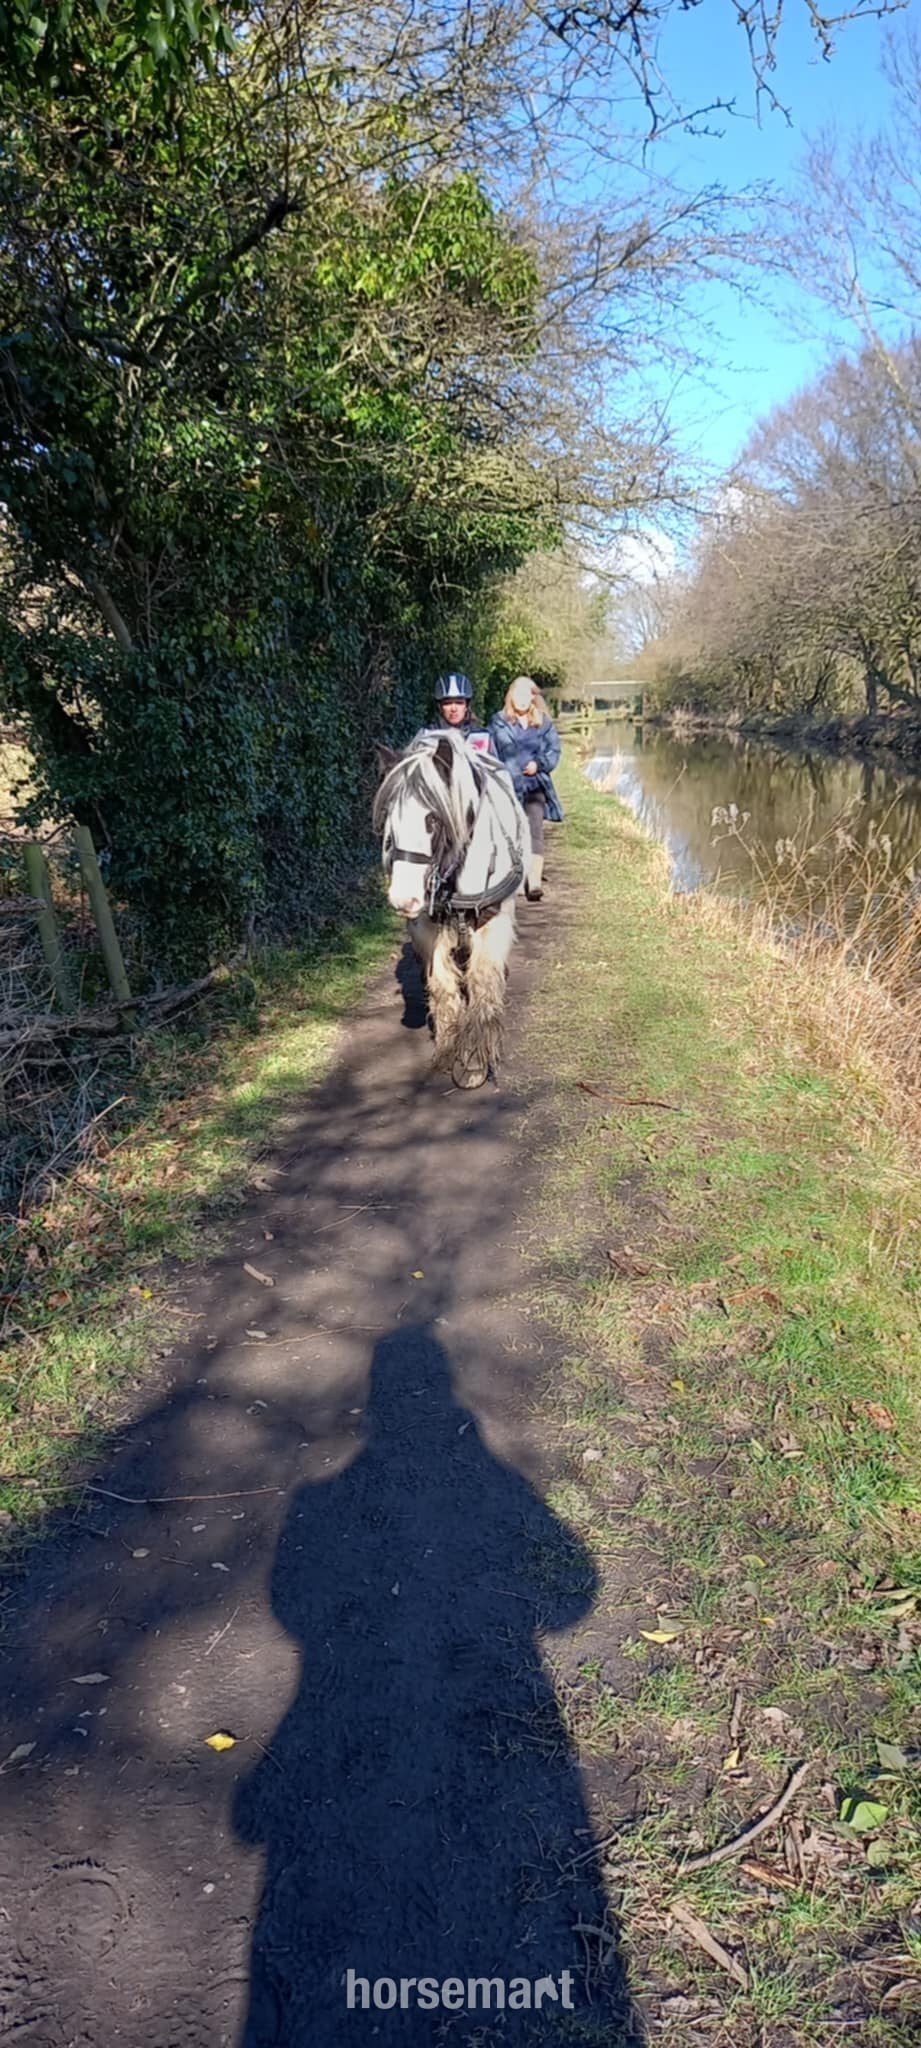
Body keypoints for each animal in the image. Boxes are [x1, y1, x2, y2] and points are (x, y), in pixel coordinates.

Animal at [373, 731, 529, 1088]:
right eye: (389, 817)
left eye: (433, 818)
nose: (403, 899)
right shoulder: (427, 928)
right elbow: (442, 986)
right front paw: (447, 1048)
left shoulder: (491, 922)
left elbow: (483, 984)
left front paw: (474, 1061)